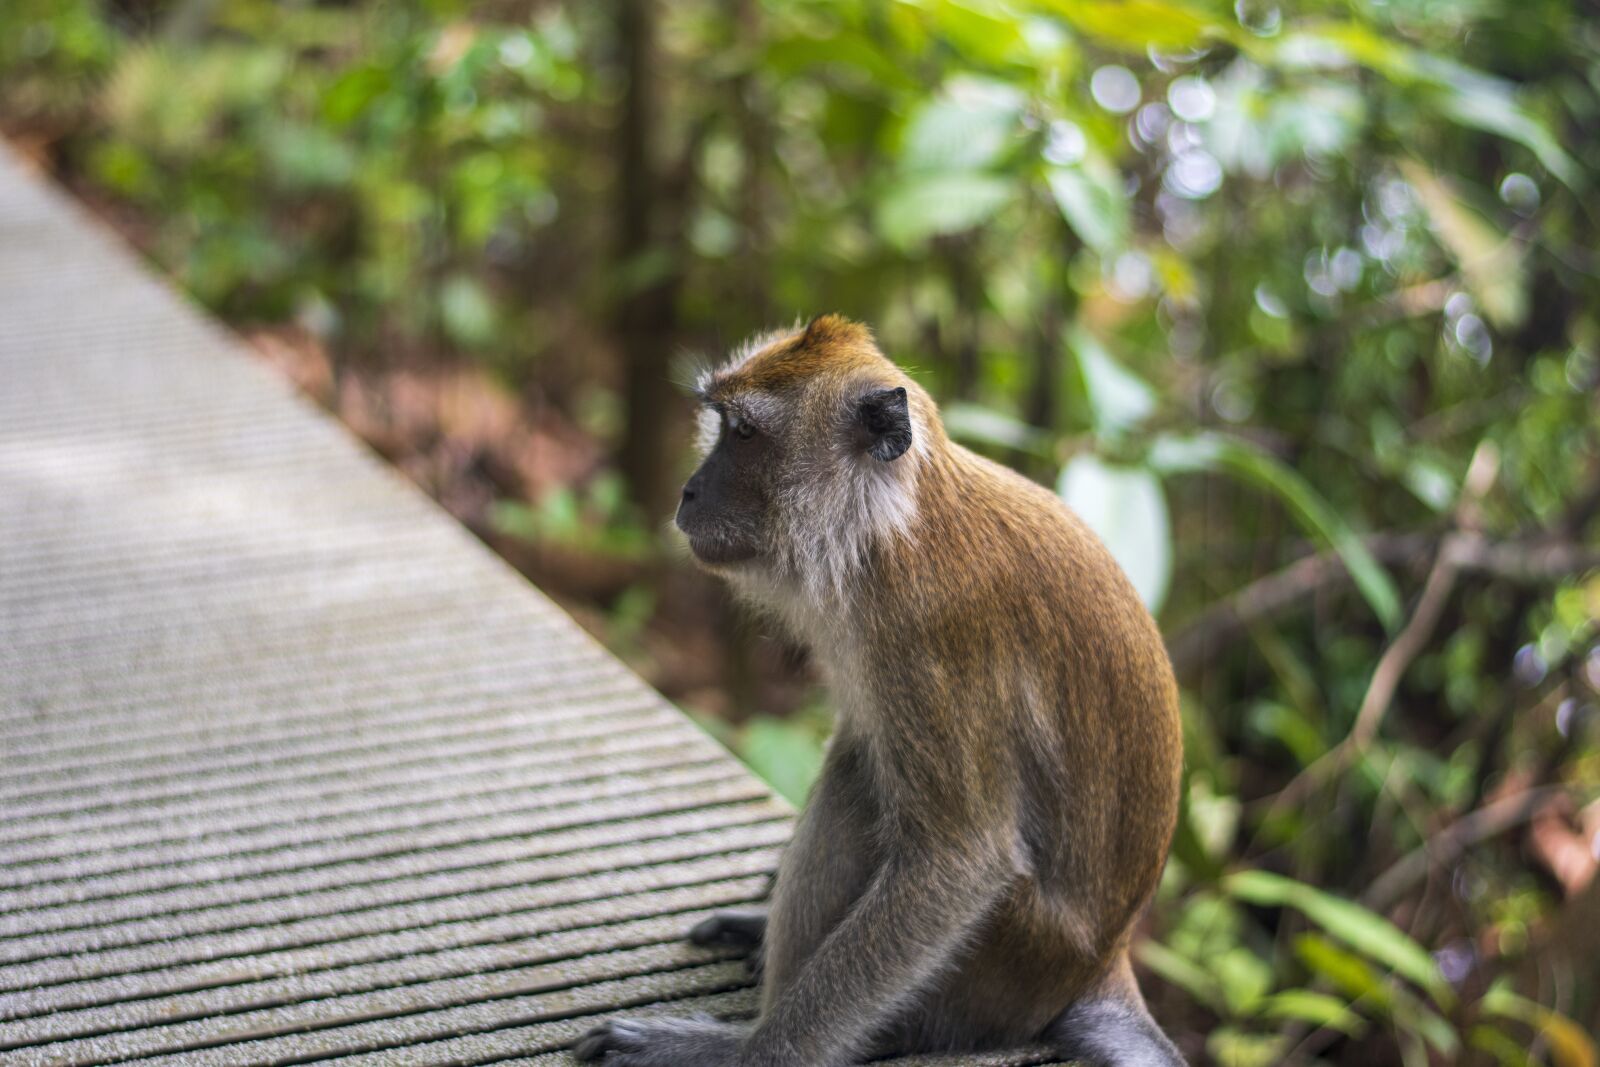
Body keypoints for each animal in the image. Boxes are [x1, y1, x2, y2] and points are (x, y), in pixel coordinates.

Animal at [576, 316, 1190, 1067]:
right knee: (857, 765)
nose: (689, 491)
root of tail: (1101, 966)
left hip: (1001, 965)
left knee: (860, 790)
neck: (892, 529)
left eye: (744, 434)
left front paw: (746, 1054)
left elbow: (960, 859)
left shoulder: (934, 636)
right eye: (721, 426)